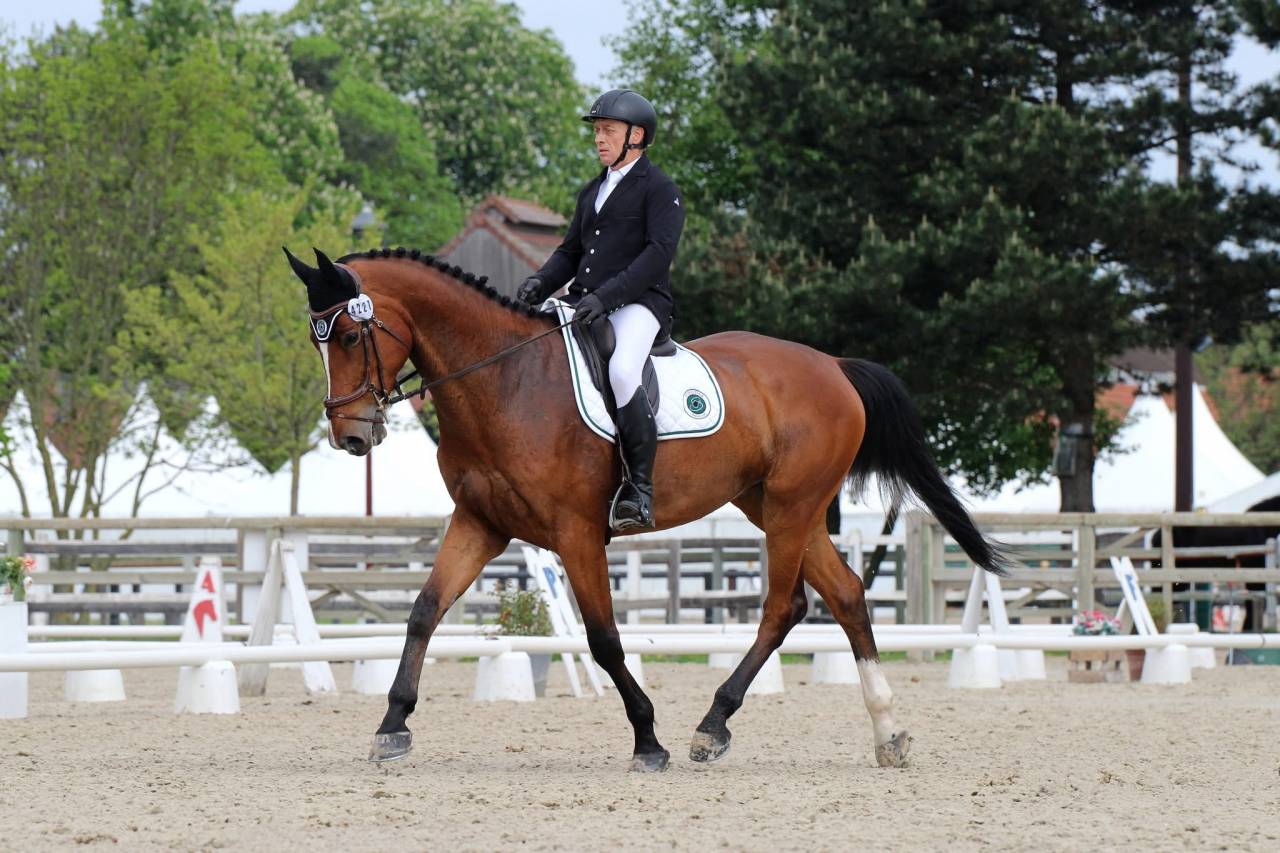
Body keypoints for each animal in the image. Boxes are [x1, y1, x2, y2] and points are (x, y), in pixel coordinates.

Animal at [285, 245, 1009, 772]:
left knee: (784, 607)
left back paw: (711, 727)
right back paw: (888, 733)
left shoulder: (577, 534)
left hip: (792, 505)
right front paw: (391, 726)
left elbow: (604, 640)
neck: (504, 381)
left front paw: (648, 738)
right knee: (848, 595)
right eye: (316, 340)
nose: (351, 438)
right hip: (774, 505)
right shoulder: (481, 524)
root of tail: (832, 364)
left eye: (347, 336)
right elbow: (424, 612)